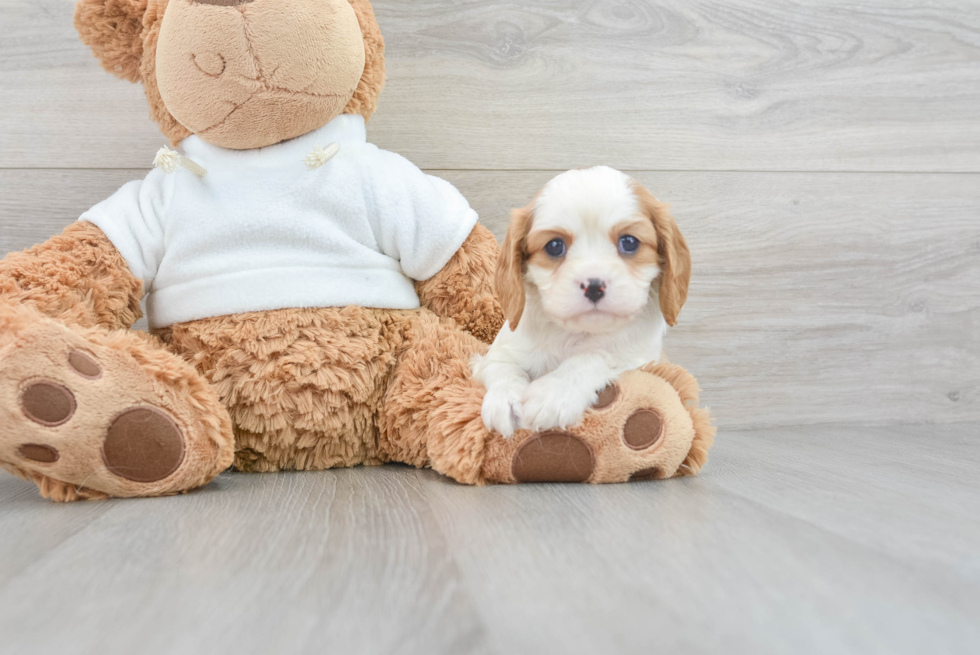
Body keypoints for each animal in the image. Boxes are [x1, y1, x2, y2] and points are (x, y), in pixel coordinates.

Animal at [472, 167, 688, 438]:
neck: (575, 334)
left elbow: (594, 356)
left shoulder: (639, 359)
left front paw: (553, 394)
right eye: (554, 246)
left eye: (629, 242)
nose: (594, 286)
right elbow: (502, 367)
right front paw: (504, 400)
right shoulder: (499, 352)